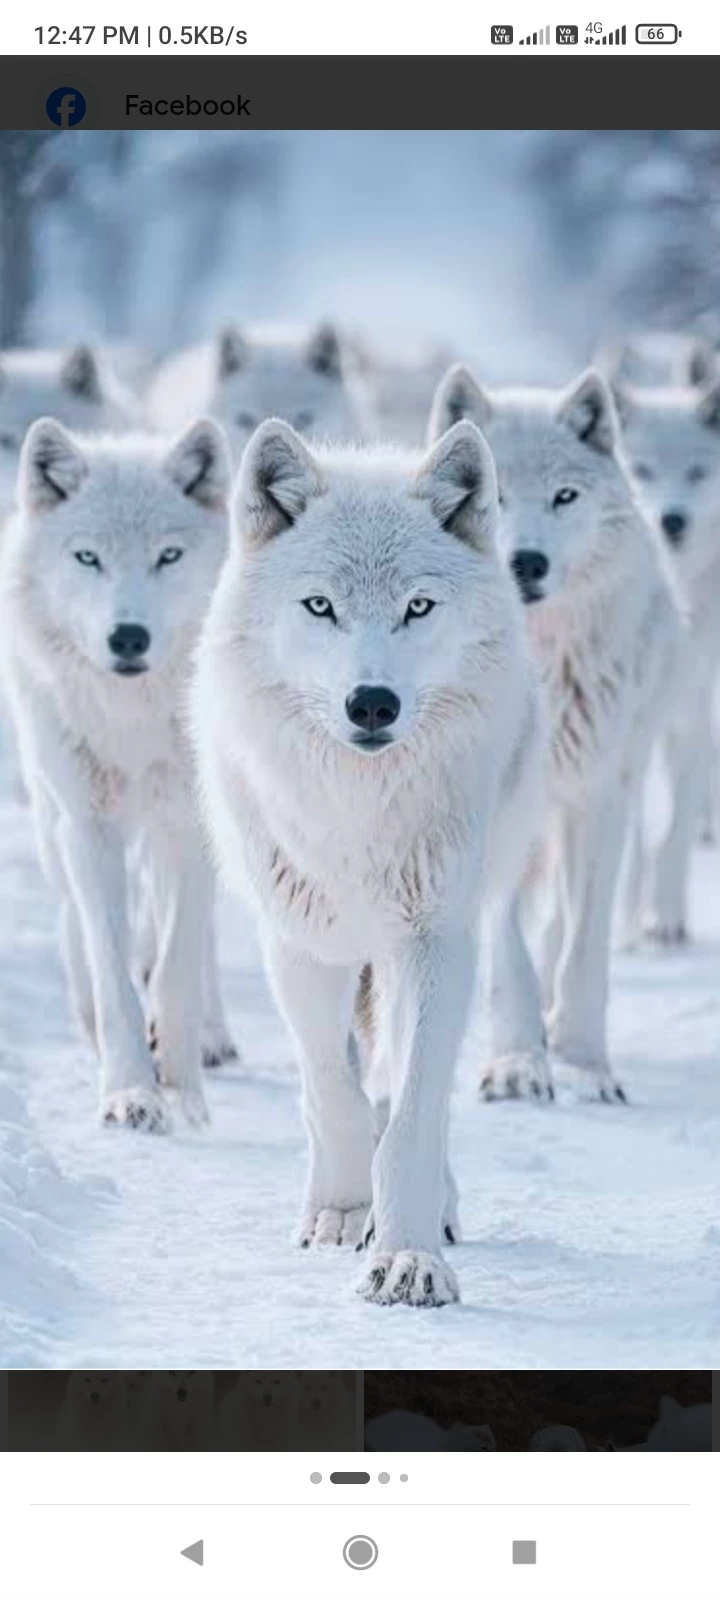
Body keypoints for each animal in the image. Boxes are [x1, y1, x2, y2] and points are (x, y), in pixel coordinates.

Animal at [0, 416, 230, 1130]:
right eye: (87, 559)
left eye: (168, 557)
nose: (128, 637)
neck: (133, 718)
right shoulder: (87, 824)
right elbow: (110, 966)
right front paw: (130, 1091)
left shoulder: (189, 824)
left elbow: (178, 967)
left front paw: (183, 1094)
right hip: (52, 815)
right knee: (76, 923)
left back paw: (212, 1040)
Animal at [191, 415, 544, 1306]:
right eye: (320, 605)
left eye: (418, 607)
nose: (372, 704)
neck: (356, 808)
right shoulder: (300, 942)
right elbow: (334, 1093)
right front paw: (345, 1214)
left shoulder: (435, 943)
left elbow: (411, 1114)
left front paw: (409, 1255)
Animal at [429, 364, 684, 1100]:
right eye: (494, 495)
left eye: (563, 496)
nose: (527, 563)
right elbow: (509, 945)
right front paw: (518, 1061)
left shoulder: (600, 798)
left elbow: (583, 942)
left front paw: (583, 1063)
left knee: (561, 920)